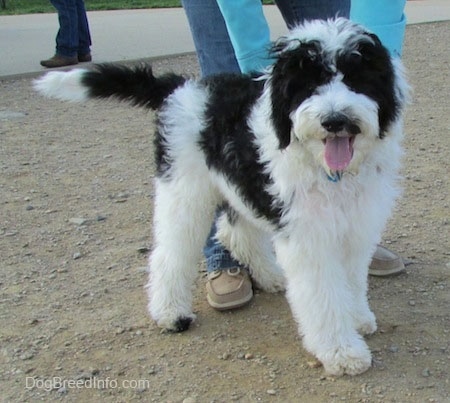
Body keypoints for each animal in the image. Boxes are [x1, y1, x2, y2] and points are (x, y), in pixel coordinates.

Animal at [34, 17, 408, 378]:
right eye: (308, 83)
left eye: (356, 78)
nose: (334, 120)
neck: (326, 169)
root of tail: (183, 88)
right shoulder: (308, 236)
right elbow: (324, 296)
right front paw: (342, 352)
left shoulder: (356, 225)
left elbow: (351, 280)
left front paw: (357, 318)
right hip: (185, 190)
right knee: (170, 253)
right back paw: (170, 312)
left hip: (239, 182)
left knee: (234, 233)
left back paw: (272, 275)